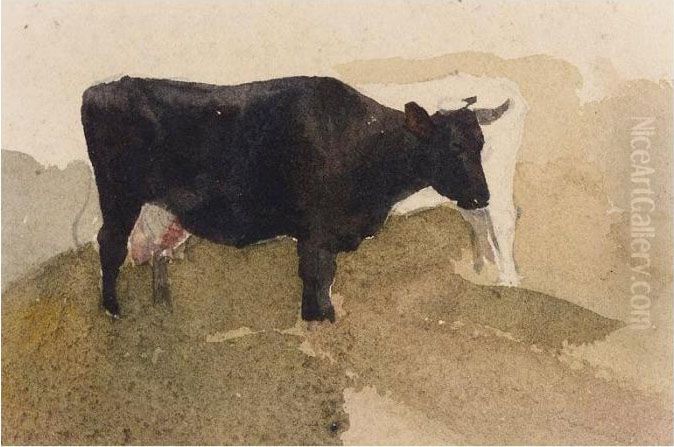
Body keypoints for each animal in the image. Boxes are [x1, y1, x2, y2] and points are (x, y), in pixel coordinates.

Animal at [81, 76, 509, 321]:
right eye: (453, 147)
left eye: (480, 144)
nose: (481, 196)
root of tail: (104, 87)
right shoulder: (317, 231)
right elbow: (317, 274)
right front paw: (319, 318)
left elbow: (322, 277)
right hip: (119, 197)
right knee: (111, 245)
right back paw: (113, 309)